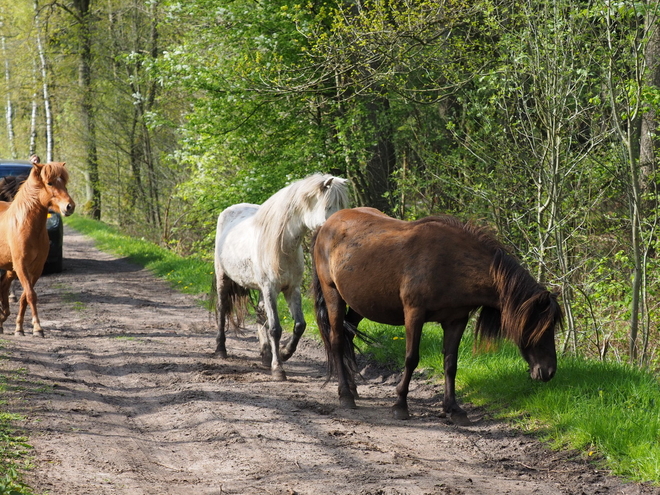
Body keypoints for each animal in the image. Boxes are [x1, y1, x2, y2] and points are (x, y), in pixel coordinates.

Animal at [0, 155, 75, 338]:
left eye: (64, 182)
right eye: (50, 183)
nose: (69, 206)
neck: (25, 225)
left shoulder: (36, 268)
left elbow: (25, 296)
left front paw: (20, 328)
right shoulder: (21, 266)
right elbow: (30, 295)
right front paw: (38, 328)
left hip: (9, 268)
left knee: (3, 285)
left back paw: (2, 319)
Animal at [215, 173, 350, 380]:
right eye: (329, 206)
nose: (339, 230)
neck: (283, 247)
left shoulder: (292, 289)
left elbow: (300, 325)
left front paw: (285, 353)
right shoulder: (270, 289)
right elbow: (275, 329)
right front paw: (278, 369)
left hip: (260, 289)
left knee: (260, 314)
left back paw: (265, 354)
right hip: (223, 279)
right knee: (222, 309)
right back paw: (221, 349)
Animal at [314, 207, 564, 424]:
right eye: (538, 327)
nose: (549, 372)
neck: (450, 262)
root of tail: (327, 224)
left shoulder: (456, 320)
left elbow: (451, 364)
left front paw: (454, 409)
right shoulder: (414, 314)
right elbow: (411, 358)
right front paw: (400, 405)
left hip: (358, 304)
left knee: (348, 336)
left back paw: (353, 388)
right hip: (333, 295)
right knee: (337, 341)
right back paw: (345, 394)